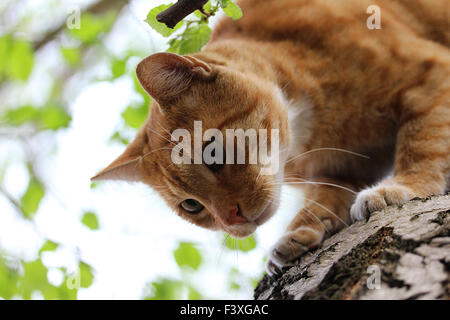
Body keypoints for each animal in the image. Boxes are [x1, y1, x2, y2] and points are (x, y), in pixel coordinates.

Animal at [92, 0, 450, 276]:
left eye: (212, 154)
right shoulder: (341, 169)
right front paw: (301, 231)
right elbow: (324, 197)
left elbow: (424, 142)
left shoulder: (431, 76)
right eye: (191, 206)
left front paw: (405, 185)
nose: (232, 219)